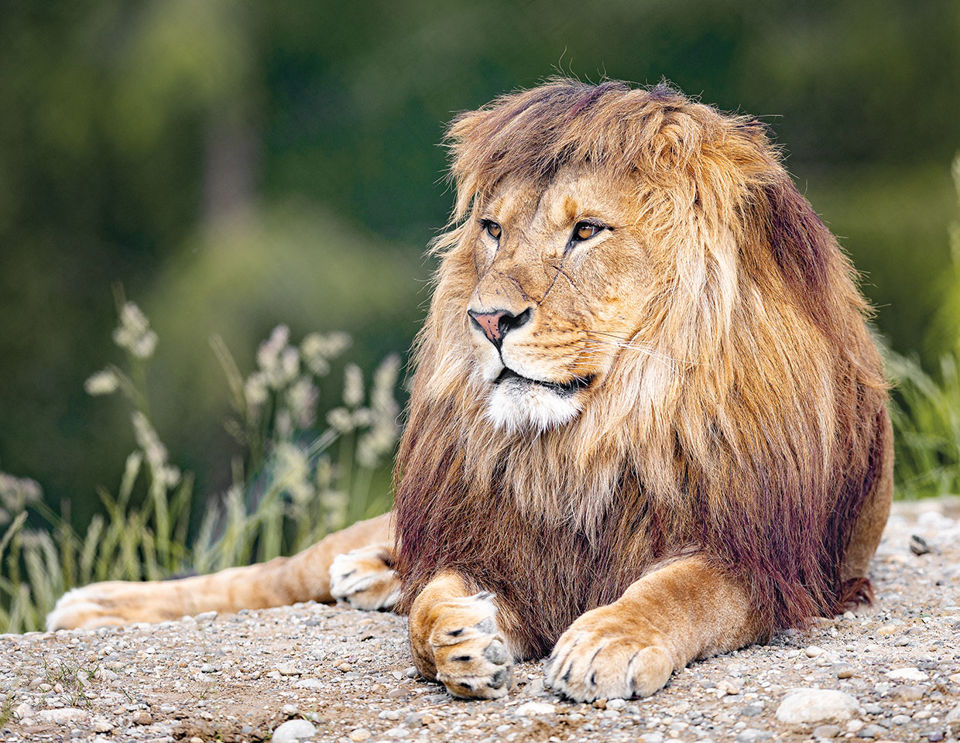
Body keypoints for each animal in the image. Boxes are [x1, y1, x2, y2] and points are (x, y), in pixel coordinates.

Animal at [47, 80, 892, 704]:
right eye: (492, 229)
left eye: (586, 231)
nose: (487, 320)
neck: (594, 436)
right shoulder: (492, 542)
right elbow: (430, 602)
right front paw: (453, 638)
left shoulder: (766, 563)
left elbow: (679, 589)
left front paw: (608, 641)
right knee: (279, 570)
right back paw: (94, 606)